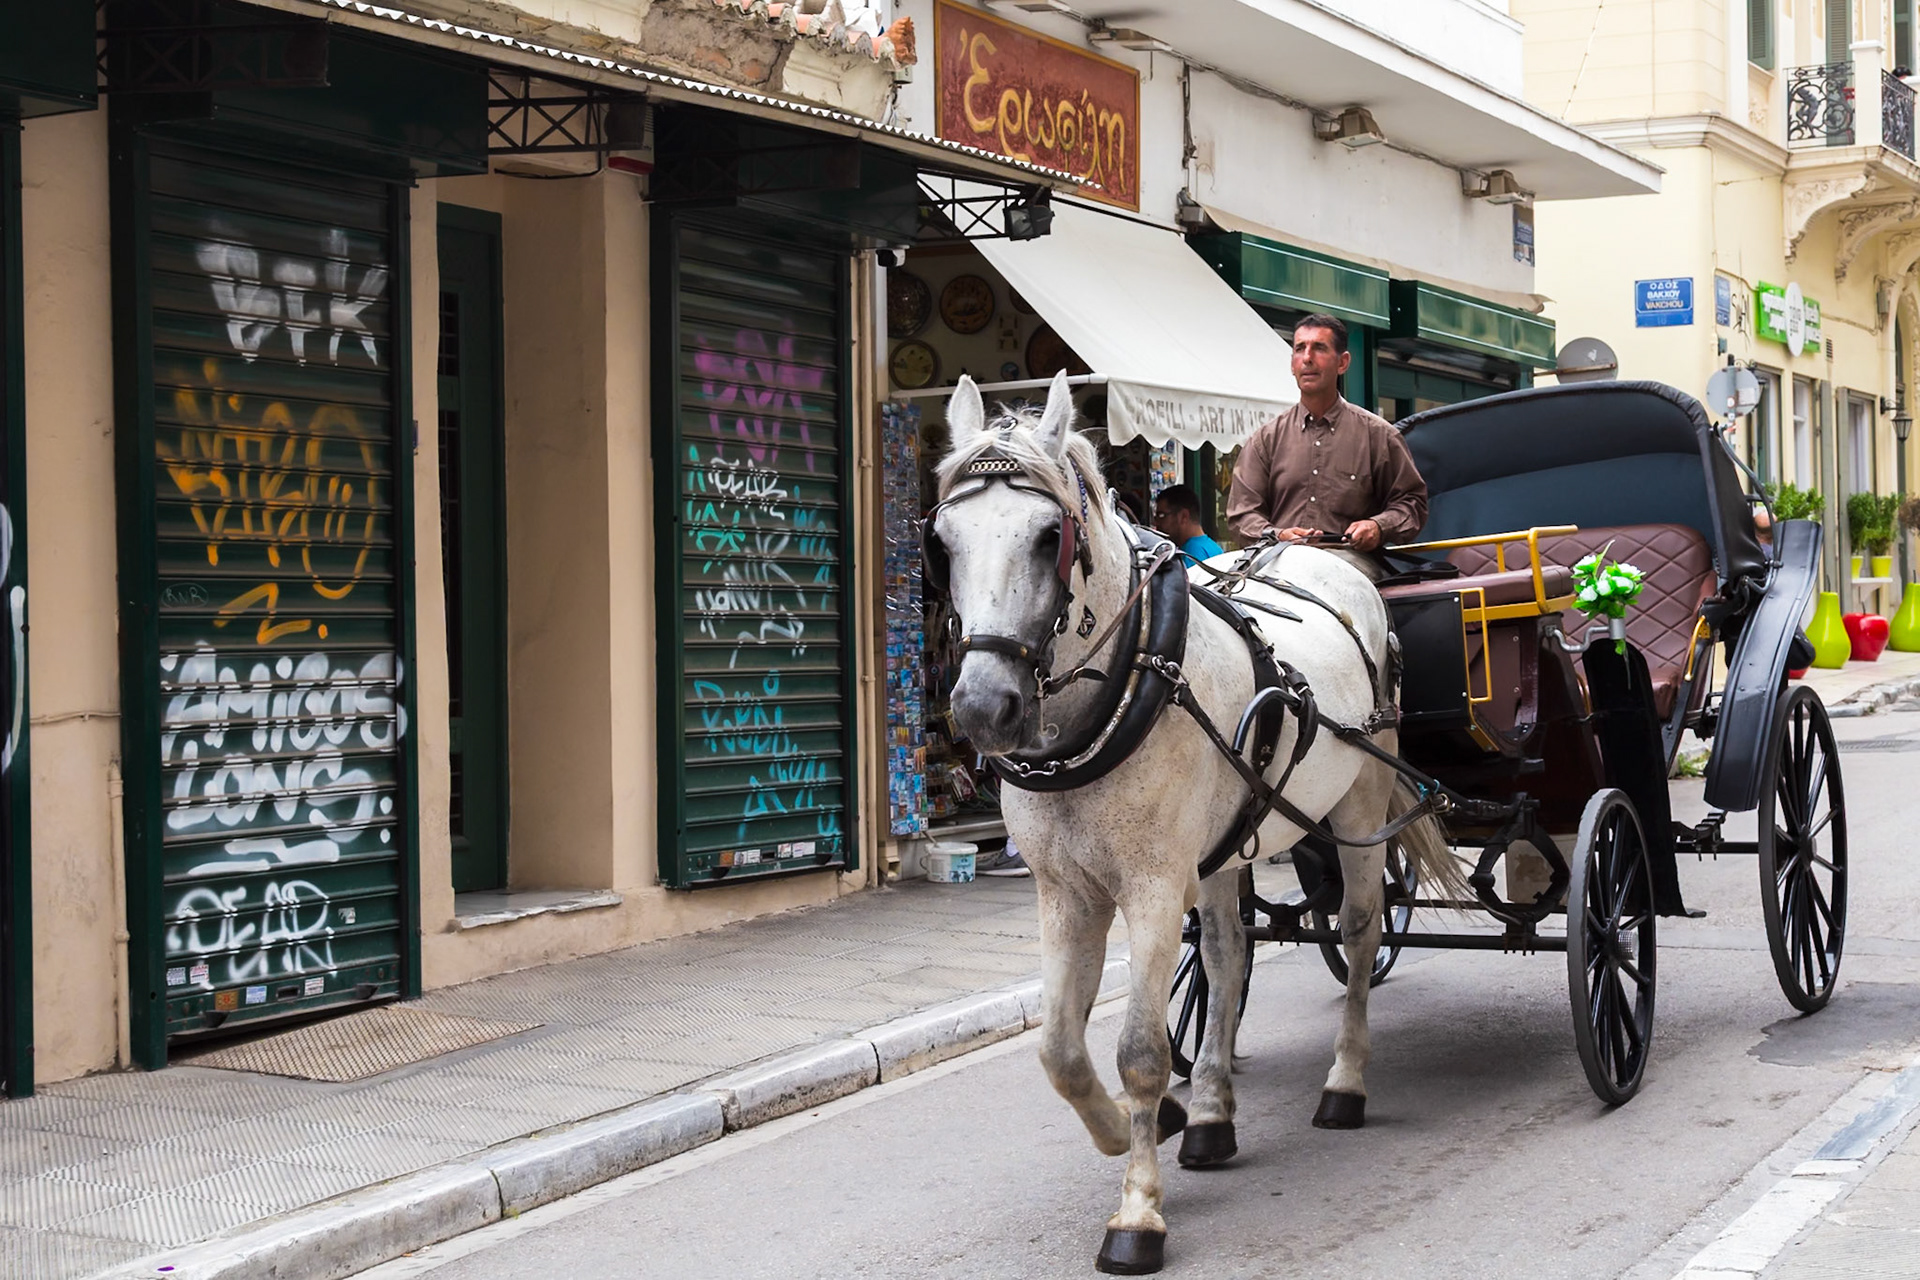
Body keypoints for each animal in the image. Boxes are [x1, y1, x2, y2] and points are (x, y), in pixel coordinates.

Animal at [926, 371, 1458, 1275]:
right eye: (944, 541)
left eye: (1047, 536)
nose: (982, 708)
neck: (1119, 688)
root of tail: (1320, 557)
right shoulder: (1065, 892)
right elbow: (1060, 1050)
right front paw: (1150, 1125)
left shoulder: (1149, 888)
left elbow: (1138, 1052)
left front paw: (1137, 1214)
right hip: (1222, 848)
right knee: (1226, 954)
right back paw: (1210, 1115)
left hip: (1358, 798)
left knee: (1358, 932)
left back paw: (1345, 1083)